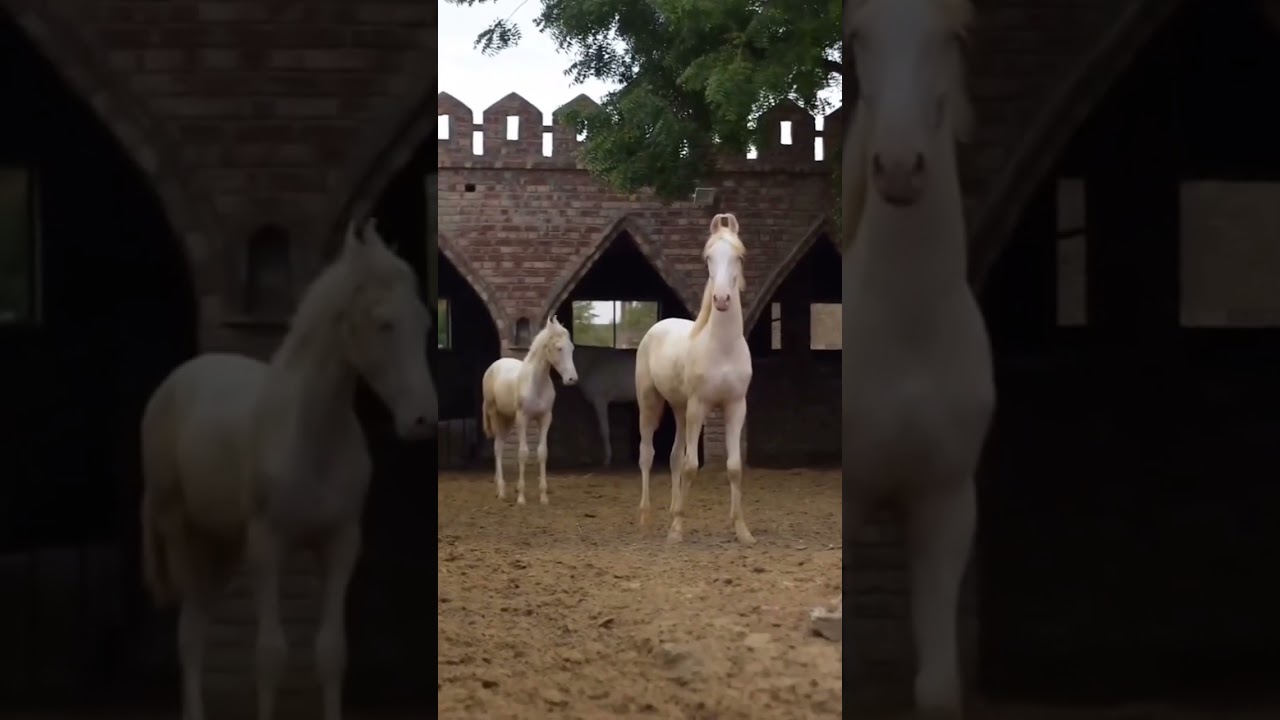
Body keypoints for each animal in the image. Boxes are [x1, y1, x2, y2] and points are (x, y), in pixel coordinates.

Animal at [139, 219, 436, 720]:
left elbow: (331, 652)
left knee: (197, 623)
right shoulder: (268, 545)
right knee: (190, 633)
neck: (310, 434)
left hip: (223, 546)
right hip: (185, 536)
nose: (422, 420)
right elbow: (270, 655)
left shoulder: (340, 543)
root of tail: (177, 382)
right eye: (384, 323)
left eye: (424, 321)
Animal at [480, 316, 579, 505]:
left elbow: (542, 453)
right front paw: (521, 498)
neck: (536, 383)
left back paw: (500, 487)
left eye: (572, 348)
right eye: (559, 348)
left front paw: (543, 497)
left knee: (500, 444)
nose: (572, 379)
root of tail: (495, 365)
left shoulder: (545, 418)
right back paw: (501, 490)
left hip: (508, 419)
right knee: (497, 447)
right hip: (496, 414)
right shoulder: (523, 419)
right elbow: (523, 453)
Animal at [635, 213, 755, 545]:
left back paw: (672, 509)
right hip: (651, 403)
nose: (722, 299)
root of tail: (658, 326)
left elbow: (733, 467)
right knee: (647, 454)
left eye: (739, 256)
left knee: (674, 456)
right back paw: (647, 517)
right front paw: (677, 530)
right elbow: (691, 466)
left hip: (679, 409)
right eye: (708, 258)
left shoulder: (735, 407)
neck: (722, 348)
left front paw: (742, 530)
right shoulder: (699, 406)